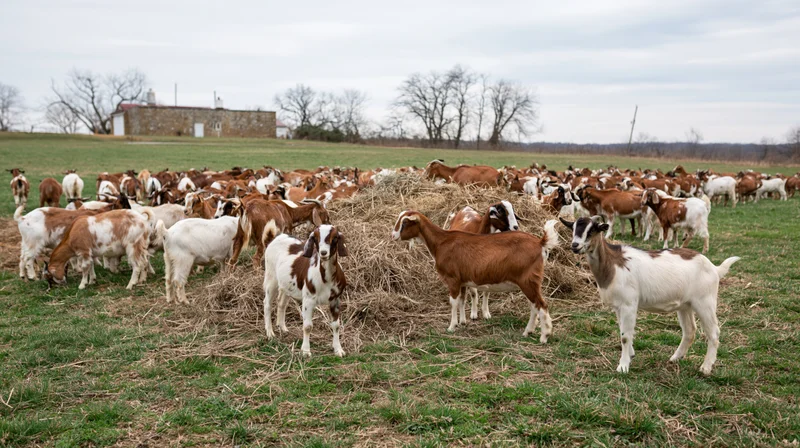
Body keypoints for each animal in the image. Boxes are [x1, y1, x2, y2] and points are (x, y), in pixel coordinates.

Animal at [263, 225, 348, 357]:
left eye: (335, 238)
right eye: (316, 238)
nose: (323, 253)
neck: (326, 279)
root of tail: (276, 237)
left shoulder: (335, 299)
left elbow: (336, 325)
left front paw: (338, 350)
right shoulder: (308, 299)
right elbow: (307, 326)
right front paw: (306, 351)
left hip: (287, 284)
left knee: (281, 303)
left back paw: (283, 328)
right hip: (271, 276)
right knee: (267, 303)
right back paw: (270, 333)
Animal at [392, 211, 559, 342]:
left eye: (405, 222)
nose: (393, 236)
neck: (441, 242)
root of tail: (540, 243)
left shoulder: (452, 279)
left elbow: (453, 302)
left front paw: (451, 327)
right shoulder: (462, 281)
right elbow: (461, 300)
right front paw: (462, 322)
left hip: (528, 280)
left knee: (541, 305)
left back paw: (544, 336)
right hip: (529, 282)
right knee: (534, 305)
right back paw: (527, 332)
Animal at [561, 216, 739, 375]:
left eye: (592, 230)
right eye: (573, 228)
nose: (575, 245)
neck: (612, 264)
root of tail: (714, 268)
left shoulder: (629, 303)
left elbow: (625, 336)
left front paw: (623, 366)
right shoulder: (619, 306)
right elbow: (623, 331)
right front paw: (631, 354)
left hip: (705, 302)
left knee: (714, 333)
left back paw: (706, 368)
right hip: (685, 305)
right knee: (689, 331)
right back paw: (675, 358)